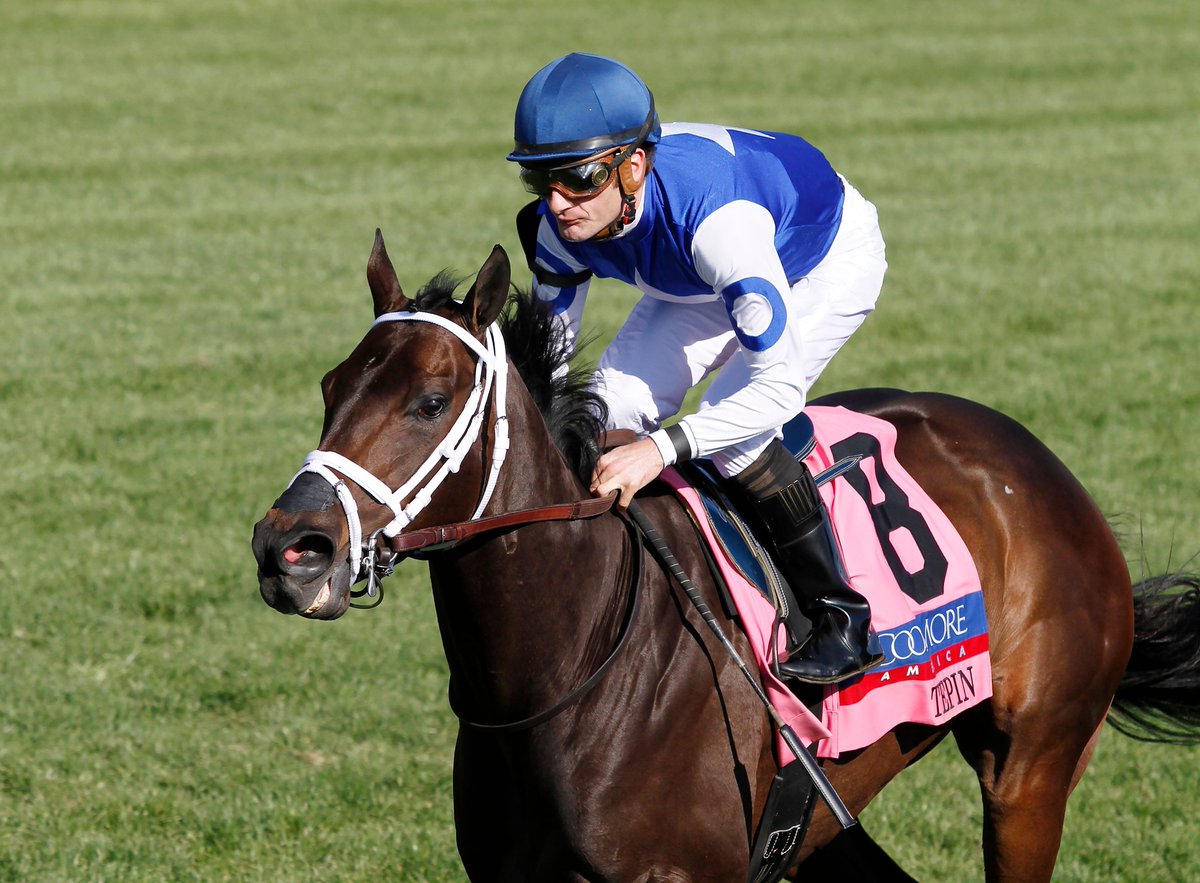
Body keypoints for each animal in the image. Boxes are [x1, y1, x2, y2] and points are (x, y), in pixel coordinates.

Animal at [253, 235, 1200, 883]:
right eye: (332, 386)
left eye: (430, 400)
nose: (289, 548)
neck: (567, 668)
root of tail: (1044, 466)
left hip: (1030, 769)